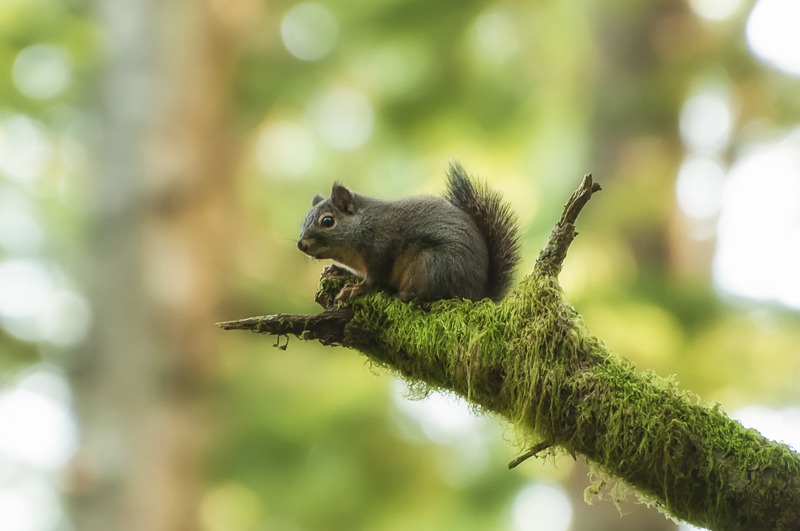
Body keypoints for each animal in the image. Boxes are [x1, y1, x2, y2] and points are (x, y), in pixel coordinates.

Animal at [297, 161, 521, 304]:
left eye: (328, 221)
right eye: (303, 220)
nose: (301, 244)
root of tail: (477, 295)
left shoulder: (382, 249)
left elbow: (374, 278)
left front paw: (357, 288)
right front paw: (336, 270)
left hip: (432, 265)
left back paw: (412, 296)